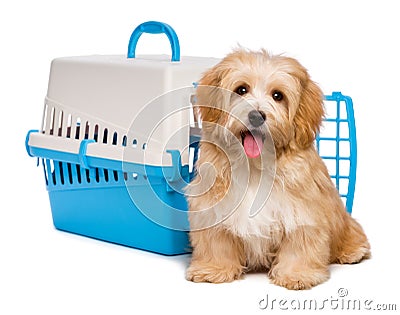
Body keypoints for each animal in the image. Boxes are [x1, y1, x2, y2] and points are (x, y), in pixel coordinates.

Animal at [186, 48, 370, 290]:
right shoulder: (213, 207)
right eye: (241, 89)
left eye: (278, 95)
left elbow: (299, 244)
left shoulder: (303, 212)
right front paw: (213, 268)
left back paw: (353, 251)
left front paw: (296, 274)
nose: (256, 116)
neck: (255, 167)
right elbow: (217, 241)